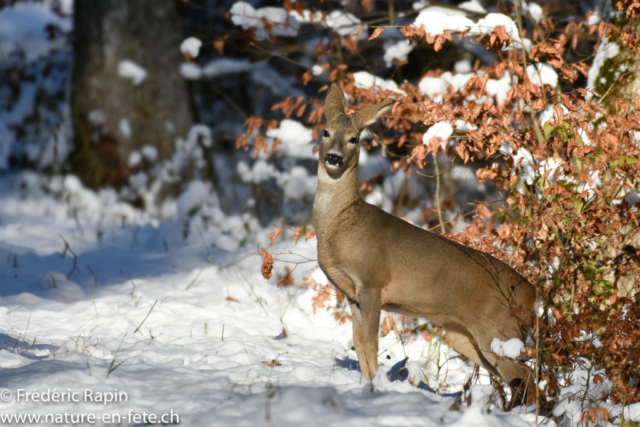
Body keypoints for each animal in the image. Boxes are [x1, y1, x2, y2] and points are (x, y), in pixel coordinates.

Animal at [312, 83, 536, 412]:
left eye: (354, 138)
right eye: (325, 131)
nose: (334, 158)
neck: (342, 226)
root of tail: (532, 295)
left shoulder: (372, 282)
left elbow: (371, 344)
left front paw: (376, 390)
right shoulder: (352, 294)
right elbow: (359, 345)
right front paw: (365, 387)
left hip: (499, 329)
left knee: (529, 378)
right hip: (465, 336)